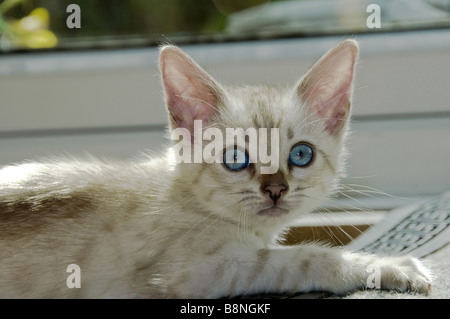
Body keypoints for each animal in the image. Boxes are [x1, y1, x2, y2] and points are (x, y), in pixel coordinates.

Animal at [0, 40, 430, 300]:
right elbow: (305, 258)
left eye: (301, 155)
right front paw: (391, 267)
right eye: (236, 159)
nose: (276, 189)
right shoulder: (193, 271)